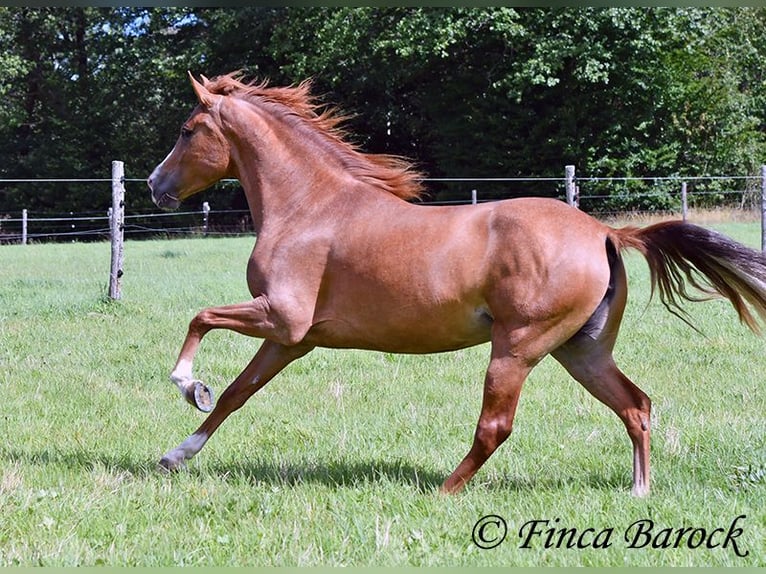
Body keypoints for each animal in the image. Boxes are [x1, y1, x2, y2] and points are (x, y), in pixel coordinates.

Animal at [147, 73, 766, 496]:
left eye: (186, 130)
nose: (154, 184)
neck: (310, 205)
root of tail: (605, 234)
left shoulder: (281, 315)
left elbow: (200, 318)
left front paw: (186, 384)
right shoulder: (292, 338)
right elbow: (236, 393)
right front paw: (176, 455)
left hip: (517, 347)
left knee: (496, 426)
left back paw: (443, 491)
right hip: (581, 350)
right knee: (636, 405)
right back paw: (639, 491)